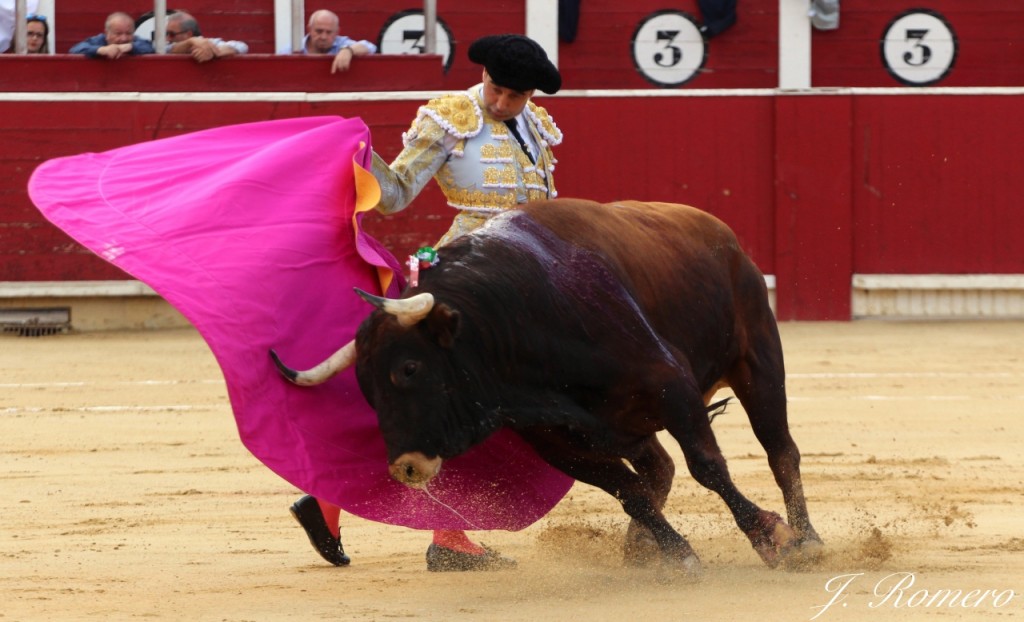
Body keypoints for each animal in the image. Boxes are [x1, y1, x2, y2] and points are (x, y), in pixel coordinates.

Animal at [272, 199, 823, 573]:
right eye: (365, 386)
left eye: (408, 368)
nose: (405, 467)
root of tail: (719, 232)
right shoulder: (556, 440)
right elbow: (629, 491)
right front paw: (678, 553)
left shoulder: (674, 389)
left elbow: (708, 467)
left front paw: (772, 538)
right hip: (628, 423)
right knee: (658, 467)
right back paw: (640, 547)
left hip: (758, 361)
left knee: (781, 451)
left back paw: (808, 539)